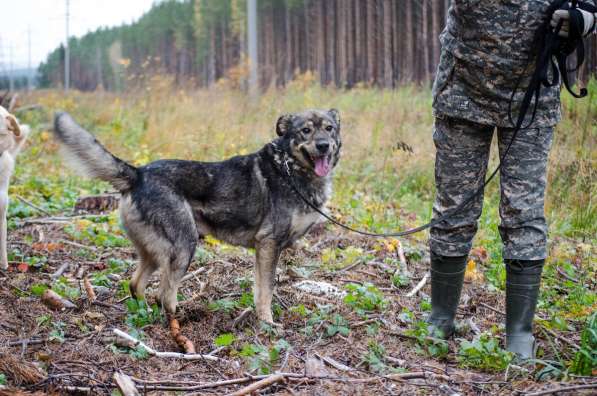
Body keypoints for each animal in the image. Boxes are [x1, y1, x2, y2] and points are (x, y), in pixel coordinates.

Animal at [53, 110, 342, 324]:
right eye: (305, 130)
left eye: (329, 128)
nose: (323, 146)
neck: (290, 169)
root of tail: (138, 174)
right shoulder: (269, 245)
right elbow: (267, 291)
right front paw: (267, 323)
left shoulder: (263, 251)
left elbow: (259, 288)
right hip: (184, 247)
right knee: (164, 295)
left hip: (155, 251)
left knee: (136, 285)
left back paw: (146, 313)